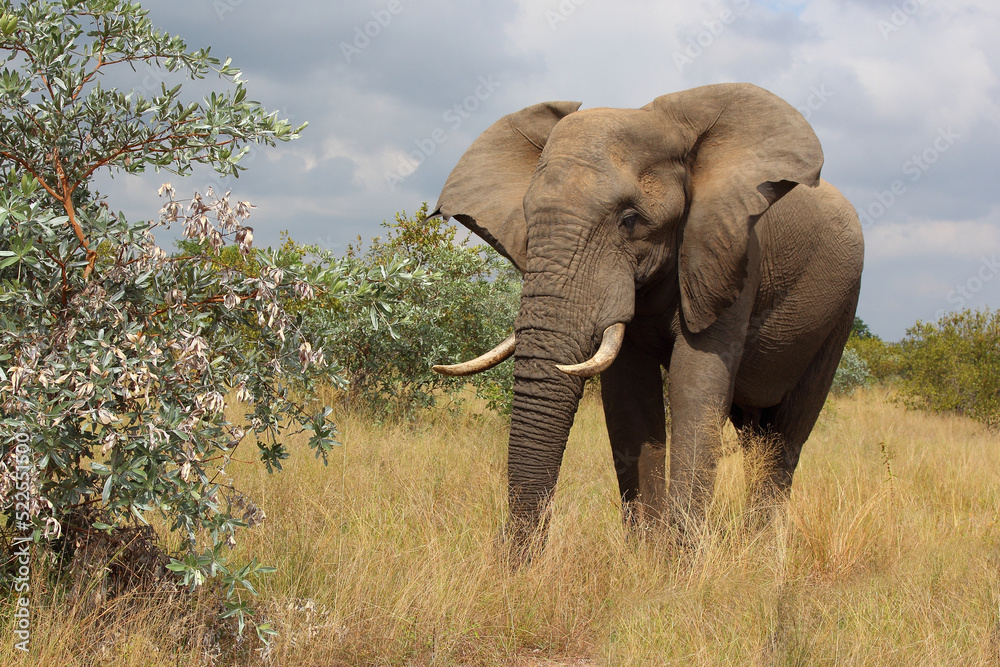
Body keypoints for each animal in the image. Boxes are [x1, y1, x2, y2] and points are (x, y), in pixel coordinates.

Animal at [429, 83, 864, 553]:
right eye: (528, 220)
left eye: (630, 220)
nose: (508, 555)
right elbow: (629, 396)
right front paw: (648, 554)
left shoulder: (731, 248)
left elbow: (696, 382)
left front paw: (680, 561)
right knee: (756, 435)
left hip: (841, 310)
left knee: (788, 433)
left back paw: (764, 549)